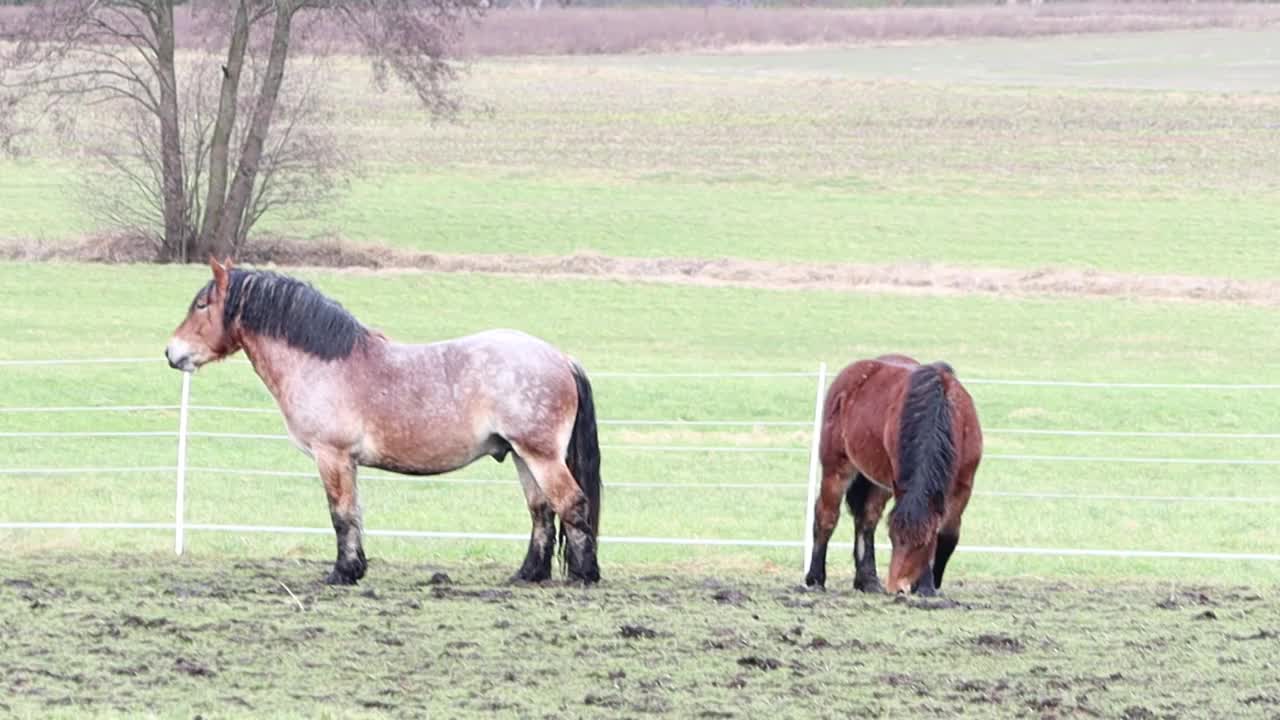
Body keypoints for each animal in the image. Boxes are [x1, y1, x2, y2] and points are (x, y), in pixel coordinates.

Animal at [167, 257, 601, 584]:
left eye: (202, 305)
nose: (172, 352)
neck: (323, 364)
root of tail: (561, 358)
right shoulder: (347, 462)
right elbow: (354, 513)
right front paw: (355, 568)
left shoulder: (332, 456)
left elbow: (341, 514)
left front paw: (342, 573)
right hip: (521, 456)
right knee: (542, 512)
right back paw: (528, 574)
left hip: (541, 456)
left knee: (572, 504)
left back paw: (584, 575)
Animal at [803, 353, 983, 594]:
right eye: (893, 539)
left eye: (923, 544)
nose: (898, 587)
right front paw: (925, 585)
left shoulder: (964, 485)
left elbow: (948, 534)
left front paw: (931, 583)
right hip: (837, 469)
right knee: (827, 516)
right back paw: (815, 579)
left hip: (879, 483)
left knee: (867, 520)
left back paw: (867, 580)